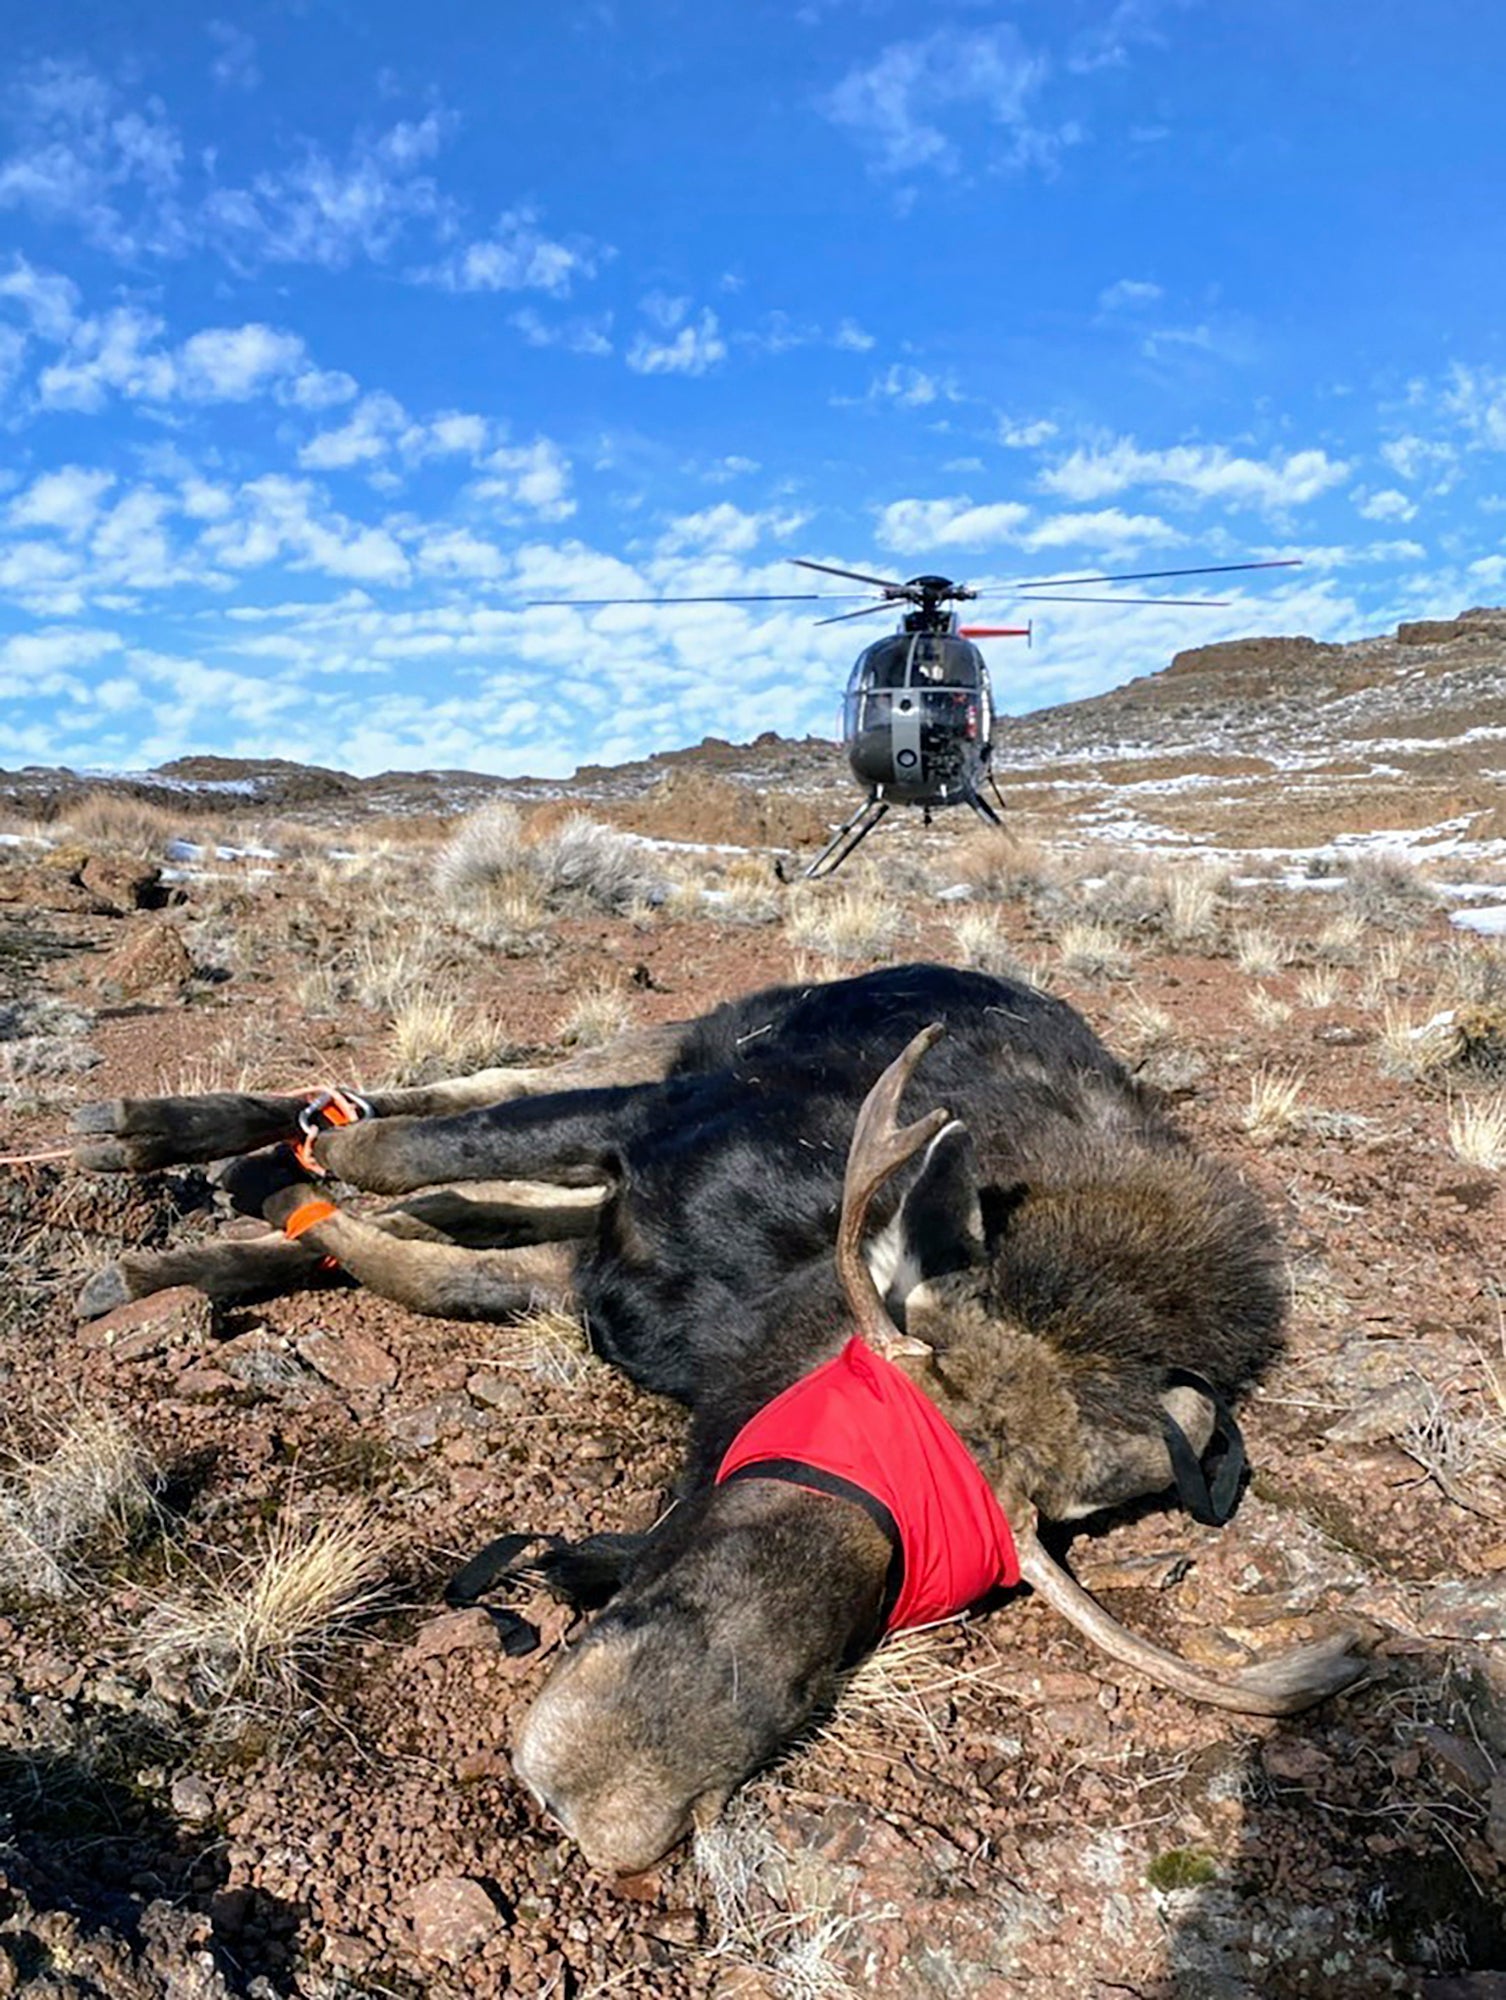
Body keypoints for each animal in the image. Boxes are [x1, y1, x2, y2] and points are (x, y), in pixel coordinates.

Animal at [69, 963, 1369, 1874]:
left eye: (948, 1574)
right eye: (853, 1402)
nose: (607, 1799)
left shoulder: (611, 1274)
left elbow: (428, 1257)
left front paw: (254, 1231)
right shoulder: (657, 1133)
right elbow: (394, 1149)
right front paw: (232, 1195)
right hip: (665, 1048)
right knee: (453, 1094)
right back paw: (158, 1133)